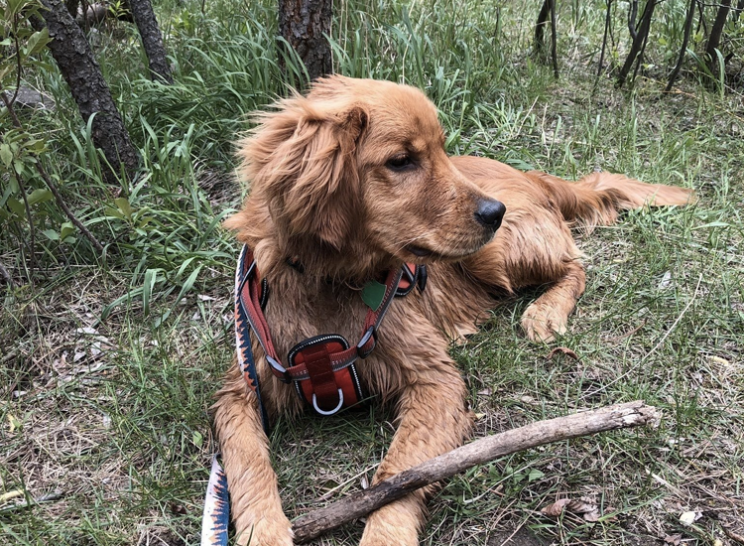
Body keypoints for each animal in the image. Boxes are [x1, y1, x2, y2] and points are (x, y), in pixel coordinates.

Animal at [214, 75, 692, 544]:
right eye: (402, 161)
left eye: (442, 150)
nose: (495, 211)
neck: (329, 282)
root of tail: (529, 175)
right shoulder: (240, 390)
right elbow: (246, 462)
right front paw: (265, 531)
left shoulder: (434, 380)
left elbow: (397, 476)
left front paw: (385, 535)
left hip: (496, 253)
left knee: (576, 266)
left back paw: (545, 312)